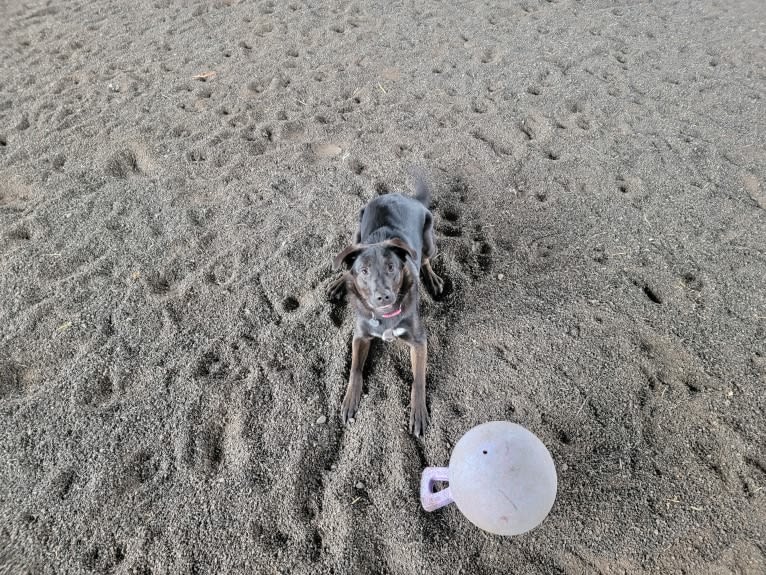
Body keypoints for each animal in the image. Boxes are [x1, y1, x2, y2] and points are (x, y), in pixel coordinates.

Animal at [326, 176, 444, 436]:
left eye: (391, 267)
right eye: (364, 271)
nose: (383, 296)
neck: (385, 317)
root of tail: (403, 196)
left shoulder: (419, 341)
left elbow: (418, 379)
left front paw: (418, 411)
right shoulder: (360, 336)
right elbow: (355, 369)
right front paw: (350, 399)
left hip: (429, 238)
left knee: (426, 259)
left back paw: (432, 279)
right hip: (358, 232)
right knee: (348, 259)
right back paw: (339, 283)